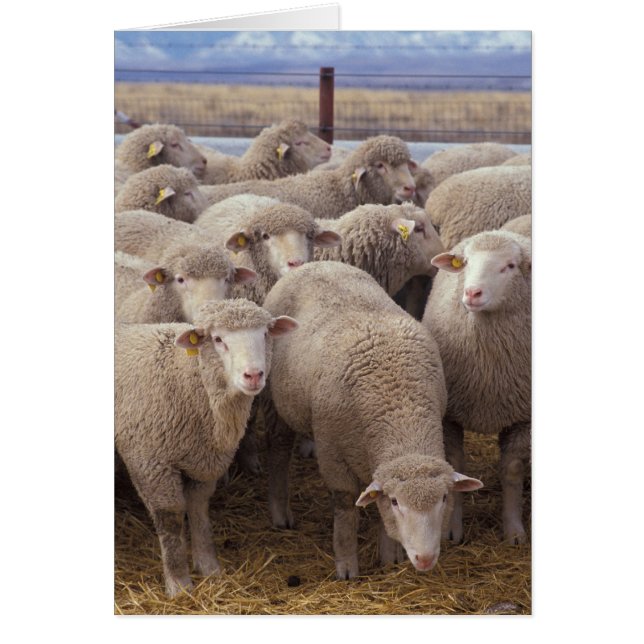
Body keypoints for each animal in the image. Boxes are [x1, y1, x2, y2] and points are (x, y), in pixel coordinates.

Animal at [115, 299, 298, 597]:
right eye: (218, 339)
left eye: (265, 334)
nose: (254, 375)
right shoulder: (149, 460)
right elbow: (170, 518)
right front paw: (179, 583)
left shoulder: (204, 459)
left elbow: (199, 509)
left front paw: (209, 567)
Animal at [261, 261, 483, 579]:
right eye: (396, 502)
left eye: (443, 498)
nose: (425, 559)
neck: (400, 411)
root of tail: (317, 263)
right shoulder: (332, 452)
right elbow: (345, 507)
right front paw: (346, 565)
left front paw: (389, 557)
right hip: (275, 401)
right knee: (278, 450)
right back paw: (280, 513)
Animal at [422, 230, 531, 545]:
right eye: (466, 262)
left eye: (510, 266)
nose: (472, 293)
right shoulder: (450, 415)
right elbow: (455, 465)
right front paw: (451, 530)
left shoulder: (523, 417)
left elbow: (512, 470)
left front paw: (514, 530)